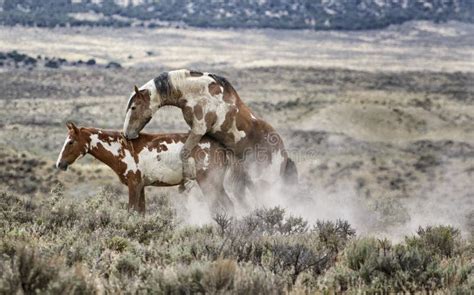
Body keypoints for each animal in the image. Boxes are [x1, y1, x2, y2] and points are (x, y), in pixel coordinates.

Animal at [55, 121, 233, 214]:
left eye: (70, 142)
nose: (59, 164)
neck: (123, 148)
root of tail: (221, 147)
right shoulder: (140, 187)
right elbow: (140, 212)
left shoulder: (134, 185)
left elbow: (132, 210)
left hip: (209, 184)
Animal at [122, 70, 296, 197]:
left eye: (134, 107)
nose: (126, 134)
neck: (196, 92)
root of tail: (284, 155)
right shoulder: (195, 130)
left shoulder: (199, 129)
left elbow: (184, 152)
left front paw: (186, 183)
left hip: (265, 182)